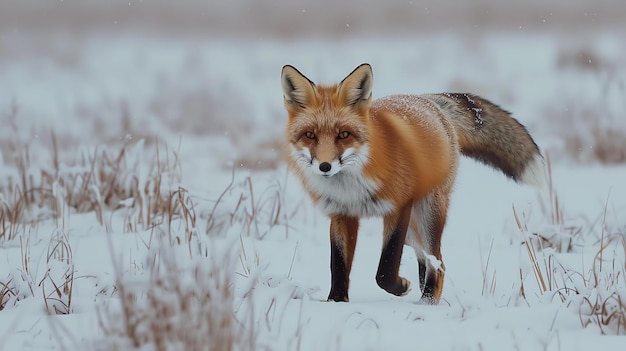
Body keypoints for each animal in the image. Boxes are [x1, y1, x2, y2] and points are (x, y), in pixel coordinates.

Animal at [280, 63, 540, 306]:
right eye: (309, 135)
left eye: (344, 135)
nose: (325, 166)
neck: (352, 186)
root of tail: (428, 99)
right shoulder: (342, 213)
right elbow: (338, 265)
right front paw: (335, 302)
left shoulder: (399, 207)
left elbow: (386, 268)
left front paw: (400, 287)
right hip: (413, 230)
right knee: (425, 258)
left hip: (427, 213)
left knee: (439, 262)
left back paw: (427, 302)